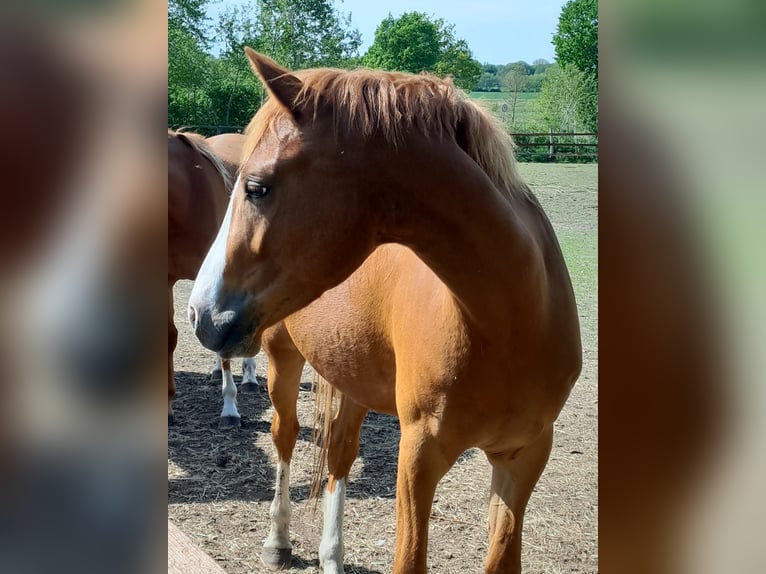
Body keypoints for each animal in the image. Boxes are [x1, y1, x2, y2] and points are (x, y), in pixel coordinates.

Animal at [188, 50, 582, 573]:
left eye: (257, 187)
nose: (199, 313)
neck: (511, 322)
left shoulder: (524, 456)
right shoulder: (419, 454)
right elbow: (409, 559)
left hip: (351, 370)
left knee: (339, 452)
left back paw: (332, 556)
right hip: (282, 357)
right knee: (286, 435)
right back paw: (279, 539)